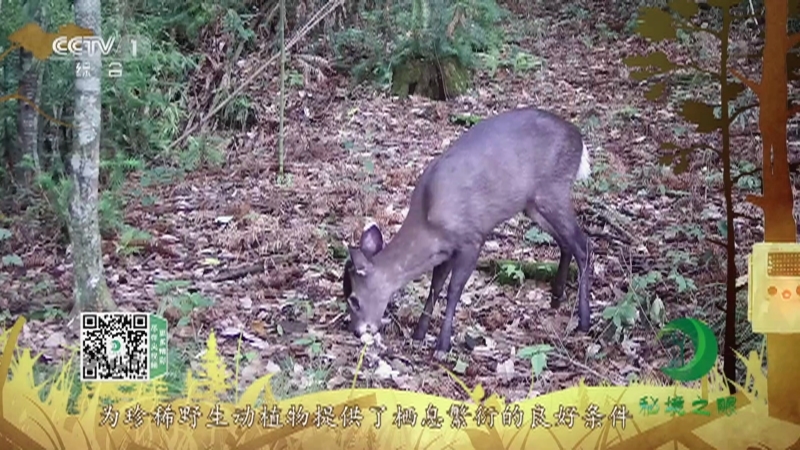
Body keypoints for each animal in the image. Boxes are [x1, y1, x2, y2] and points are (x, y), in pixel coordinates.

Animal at [342, 107, 593, 359]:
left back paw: (584, 320)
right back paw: (557, 297)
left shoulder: (471, 239)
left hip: (553, 190)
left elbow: (453, 290)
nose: (356, 330)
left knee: (584, 244)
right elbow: (435, 286)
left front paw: (442, 345)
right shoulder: (445, 250)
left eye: (354, 299)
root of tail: (579, 139)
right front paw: (419, 334)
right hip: (533, 204)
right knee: (566, 242)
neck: (428, 220)